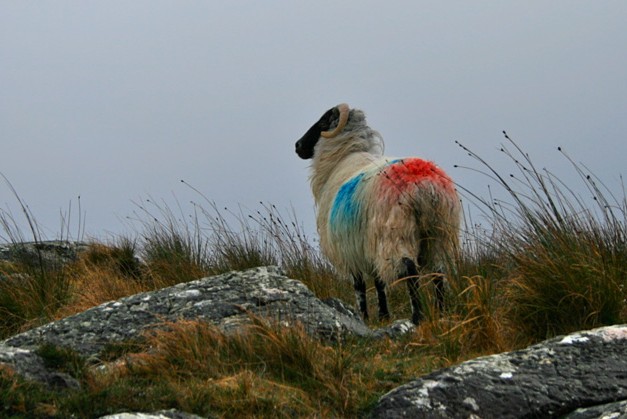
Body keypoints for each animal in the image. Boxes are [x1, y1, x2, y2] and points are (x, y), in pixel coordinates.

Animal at [294, 102, 462, 324]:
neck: (343, 158)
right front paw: (383, 315)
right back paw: (441, 312)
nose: (297, 146)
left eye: (322, 122)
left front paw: (364, 316)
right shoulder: (367, 242)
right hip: (440, 231)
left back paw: (417, 317)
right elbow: (379, 281)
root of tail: (426, 186)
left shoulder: (350, 247)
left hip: (396, 232)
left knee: (410, 271)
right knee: (438, 272)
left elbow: (360, 285)